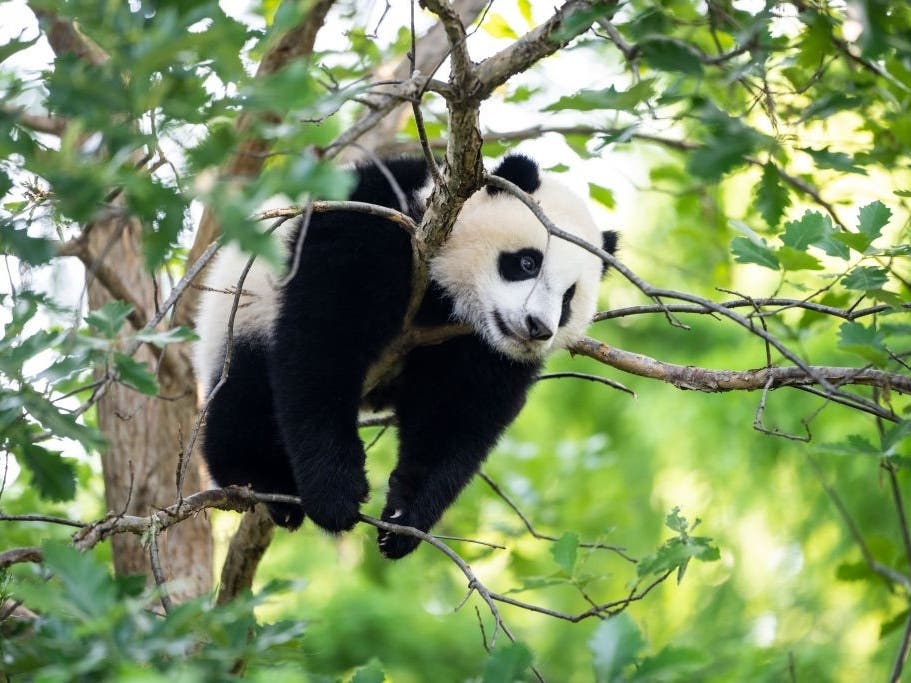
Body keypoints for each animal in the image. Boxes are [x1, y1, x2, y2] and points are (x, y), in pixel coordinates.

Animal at [193, 154, 617, 559]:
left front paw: (402, 520)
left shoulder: (480, 349)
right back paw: (262, 481)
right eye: (527, 262)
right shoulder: (370, 229)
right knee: (244, 396)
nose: (537, 328)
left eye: (568, 298)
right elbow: (323, 343)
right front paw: (336, 495)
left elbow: (457, 412)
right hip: (242, 315)